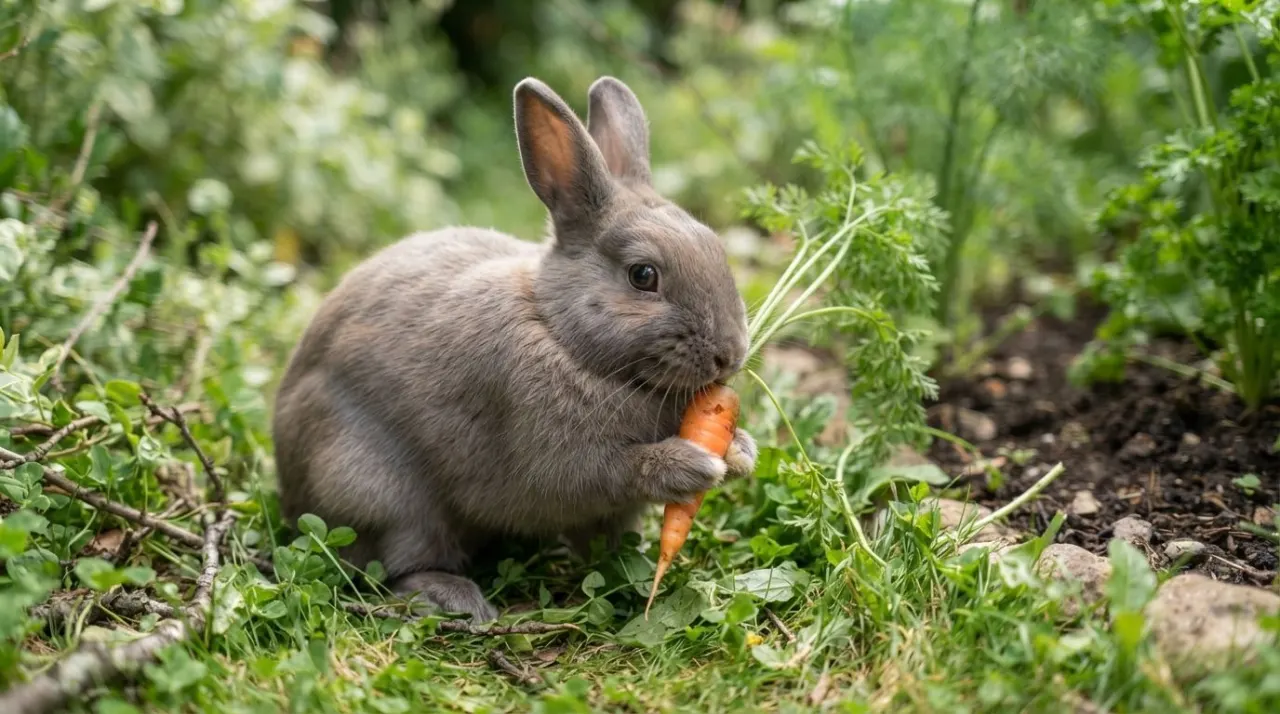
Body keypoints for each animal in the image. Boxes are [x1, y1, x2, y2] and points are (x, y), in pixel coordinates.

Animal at [271, 76, 757, 622]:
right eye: (643, 275)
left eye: (716, 247)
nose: (731, 354)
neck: (562, 334)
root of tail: (290, 485)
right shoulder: (559, 455)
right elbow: (609, 472)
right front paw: (694, 465)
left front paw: (740, 452)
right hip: (378, 493)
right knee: (393, 566)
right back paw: (456, 598)